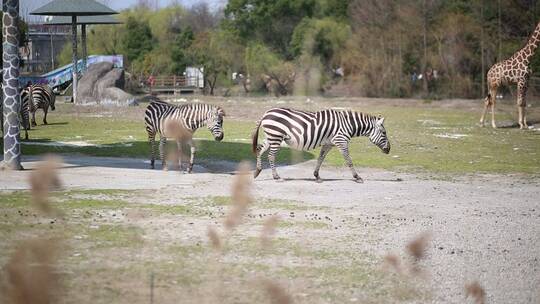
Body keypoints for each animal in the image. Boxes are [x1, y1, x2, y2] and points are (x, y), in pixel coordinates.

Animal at [251, 107, 390, 182]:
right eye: (384, 132)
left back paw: (257, 171)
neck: (348, 125)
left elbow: (320, 159)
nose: (389, 149)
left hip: (270, 137)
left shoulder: (328, 143)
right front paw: (357, 177)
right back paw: (276, 177)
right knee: (271, 156)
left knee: (259, 149)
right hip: (276, 137)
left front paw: (317, 176)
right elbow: (348, 160)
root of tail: (266, 113)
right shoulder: (341, 141)